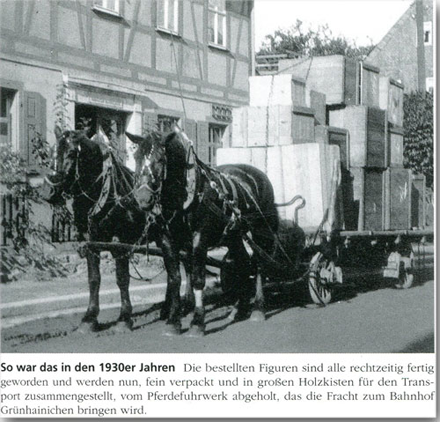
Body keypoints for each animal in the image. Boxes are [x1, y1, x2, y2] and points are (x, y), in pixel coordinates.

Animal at [40, 126, 152, 332]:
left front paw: (124, 318)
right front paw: (90, 317)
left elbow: (122, 278)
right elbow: (94, 279)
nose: (47, 191)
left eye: (71, 153)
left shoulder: (120, 243)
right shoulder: (91, 242)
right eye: (51, 152)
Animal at [127, 129, 278, 336]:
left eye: (160, 159)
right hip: (234, 235)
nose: (143, 198)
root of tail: (256, 174)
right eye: (136, 157)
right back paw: (239, 309)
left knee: (260, 264)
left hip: (261, 230)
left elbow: (198, 279)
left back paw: (258, 308)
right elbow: (174, 279)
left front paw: (197, 322)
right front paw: (173, 320)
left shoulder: (200, 237)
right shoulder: (167, 240)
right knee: (243, 264)